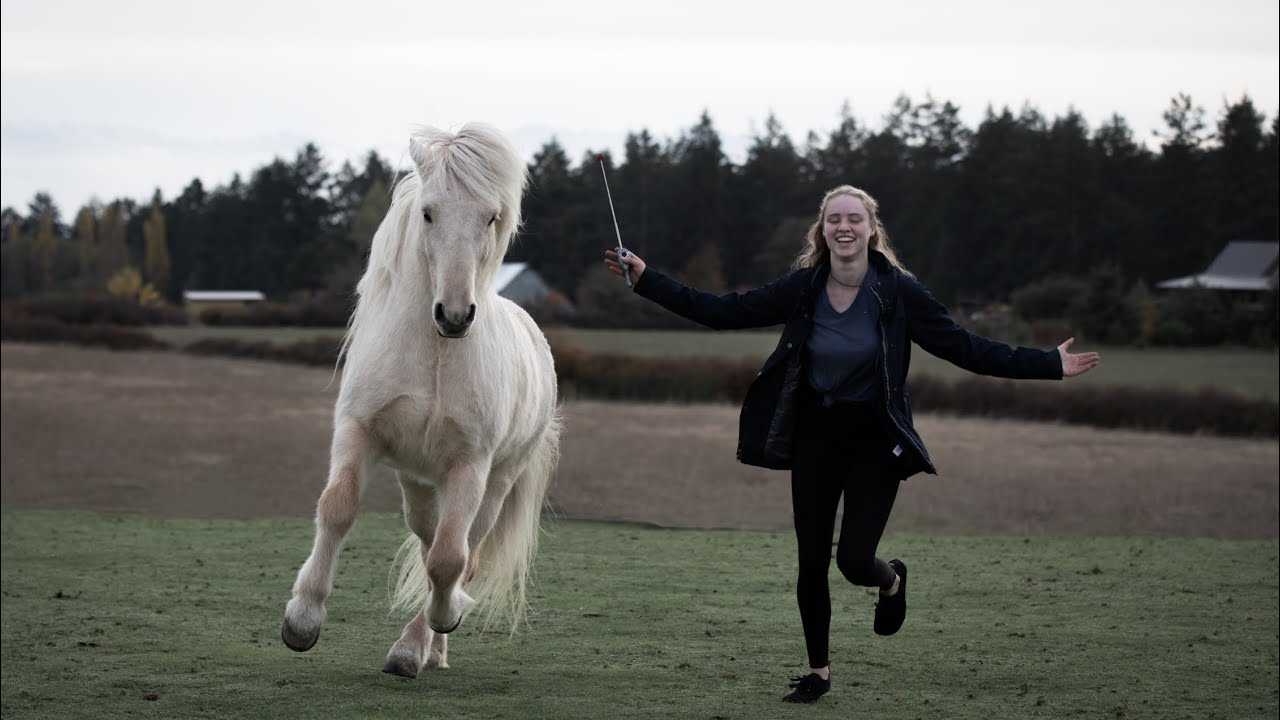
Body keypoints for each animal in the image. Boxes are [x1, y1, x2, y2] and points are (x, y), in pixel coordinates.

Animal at [281, 123, 561, 678]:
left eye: (491, 216)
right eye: (429, 212)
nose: (454, 314)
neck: (434, 354)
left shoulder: (471, 464)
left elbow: (451, 560)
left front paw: (436, 624)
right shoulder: (358, 430)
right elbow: (338, 507)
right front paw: (302, 621)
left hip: (495, 482)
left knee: (462, 551)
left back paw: (419, 647)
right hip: (418, 481)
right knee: (429, 535)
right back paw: (431, 650)